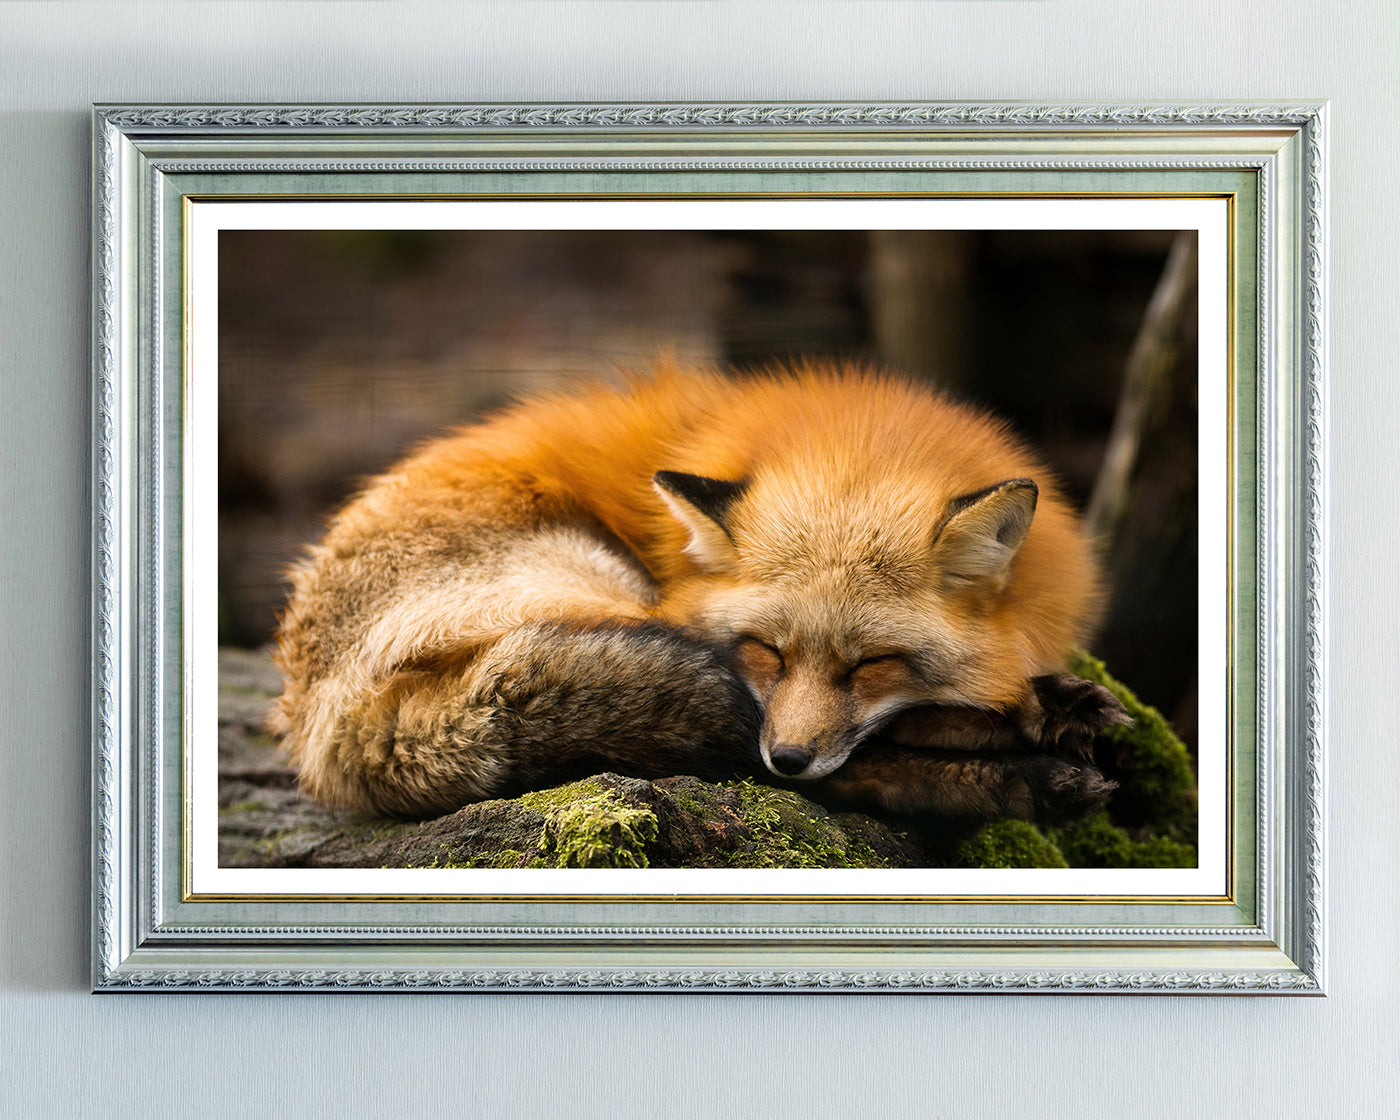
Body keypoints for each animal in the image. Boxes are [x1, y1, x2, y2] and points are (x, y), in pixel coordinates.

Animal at [269, 358, 1126, 825]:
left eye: (872, 664)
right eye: (766, 651)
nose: (790, 758)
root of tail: (318, 722)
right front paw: (1031, 717)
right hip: (604, 595)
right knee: (793, 762)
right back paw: (1026, 768)